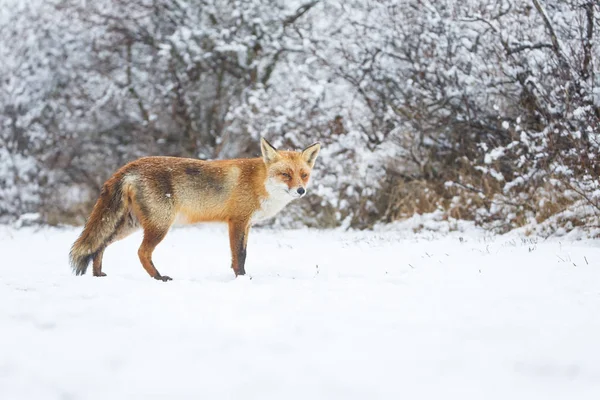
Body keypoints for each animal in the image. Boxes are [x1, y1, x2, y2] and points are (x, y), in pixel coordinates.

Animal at [68, 138, 322, 282]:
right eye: (285, 174)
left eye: (304, 175)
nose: (301, 191)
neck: (258, 182)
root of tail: (129, 166)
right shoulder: (237, 221)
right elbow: (239, 256)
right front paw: (242, 279)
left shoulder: (247, 225)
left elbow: (241, 254)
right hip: (160, 225)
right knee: (141, 252)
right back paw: (159, 277)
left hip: (131, 224)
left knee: (100, 245)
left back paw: (98, 274)